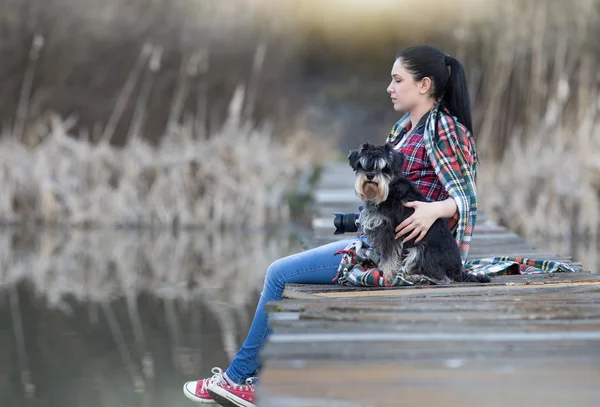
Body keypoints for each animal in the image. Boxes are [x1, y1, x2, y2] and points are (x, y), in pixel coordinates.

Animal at [350, 142, 490, 286]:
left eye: (385, 168)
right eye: (363, 165)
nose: (370, 175)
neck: (389, 188)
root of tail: (457, 270)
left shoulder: (391, 233)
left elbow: (389, 258)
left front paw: (387, 276)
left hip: (420, 250)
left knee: (442, 278)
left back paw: (414, 277)